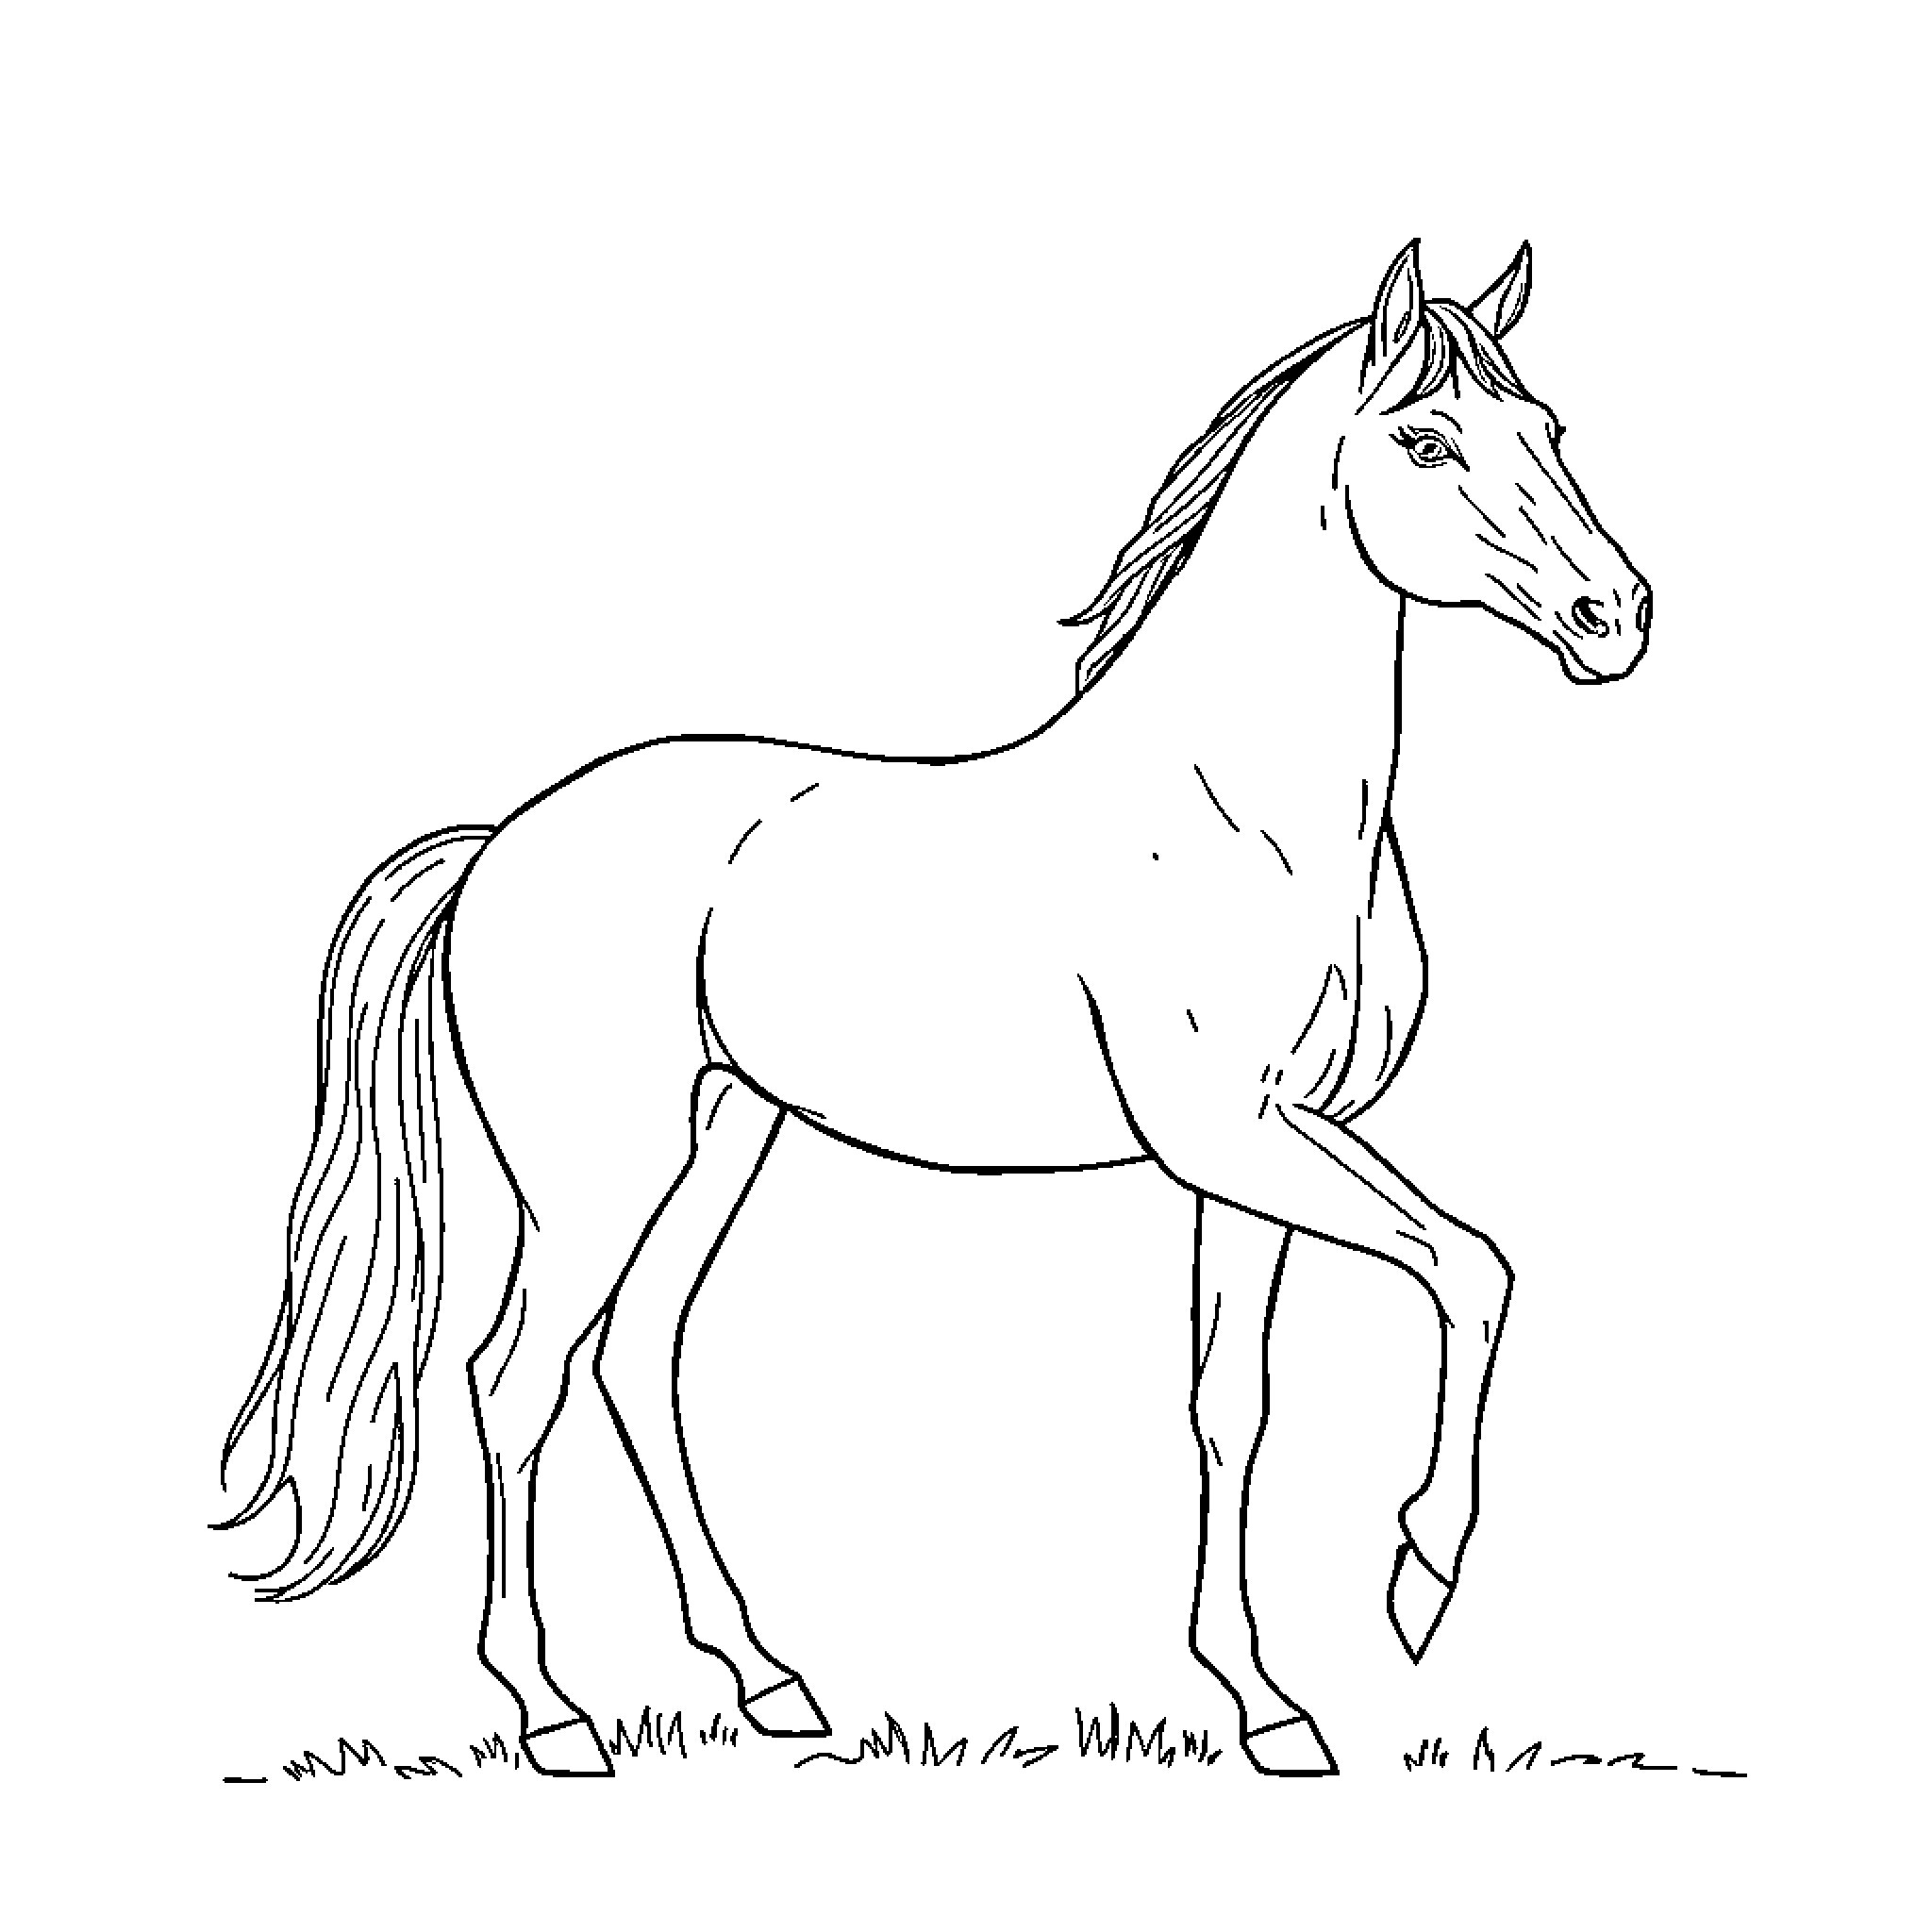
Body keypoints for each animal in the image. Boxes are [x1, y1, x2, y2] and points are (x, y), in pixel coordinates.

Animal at [217, 240, 1650, 1777]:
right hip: (595, 1175)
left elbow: (1235, 1404)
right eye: (1427, 441)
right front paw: (1418, 1578)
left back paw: (771, 1682)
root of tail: (498, 844)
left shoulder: (1266, 1148)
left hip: (722, 1133)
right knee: (511, 1379)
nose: (1615, 619)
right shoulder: (1232, 1134)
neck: (1242, 808)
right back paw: (552, 1711)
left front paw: (1265, 1703)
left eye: (1551, 429)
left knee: (639, 1358)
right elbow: (1471, 1267)